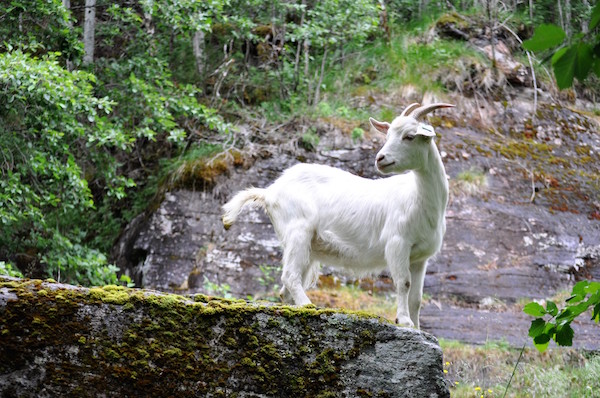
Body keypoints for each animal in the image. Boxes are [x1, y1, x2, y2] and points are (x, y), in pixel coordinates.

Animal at [223, 103, 452, 330]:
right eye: (387, 136)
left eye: (409, 136)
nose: (380, 159)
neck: (417, 198)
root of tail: (270, 192)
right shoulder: (397, 244)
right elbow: (403, 283)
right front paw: (404, 321)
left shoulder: (420, 257)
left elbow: (417, 297)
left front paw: (418, 327)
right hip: (298, 230)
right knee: (289, 276)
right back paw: (308, 305)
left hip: (306, 246)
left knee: (285, 289)